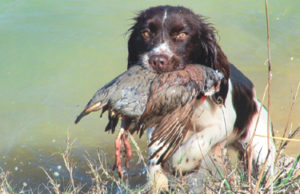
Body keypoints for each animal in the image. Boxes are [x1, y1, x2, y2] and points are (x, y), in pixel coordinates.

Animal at [125, 5, 276, 190]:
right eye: (146, 33)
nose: (157, 60)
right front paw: (158, 182)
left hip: (260, 146)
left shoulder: (223, 123)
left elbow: (199, 140)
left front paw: (181, 163)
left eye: (182, 34)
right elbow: (156, 150)